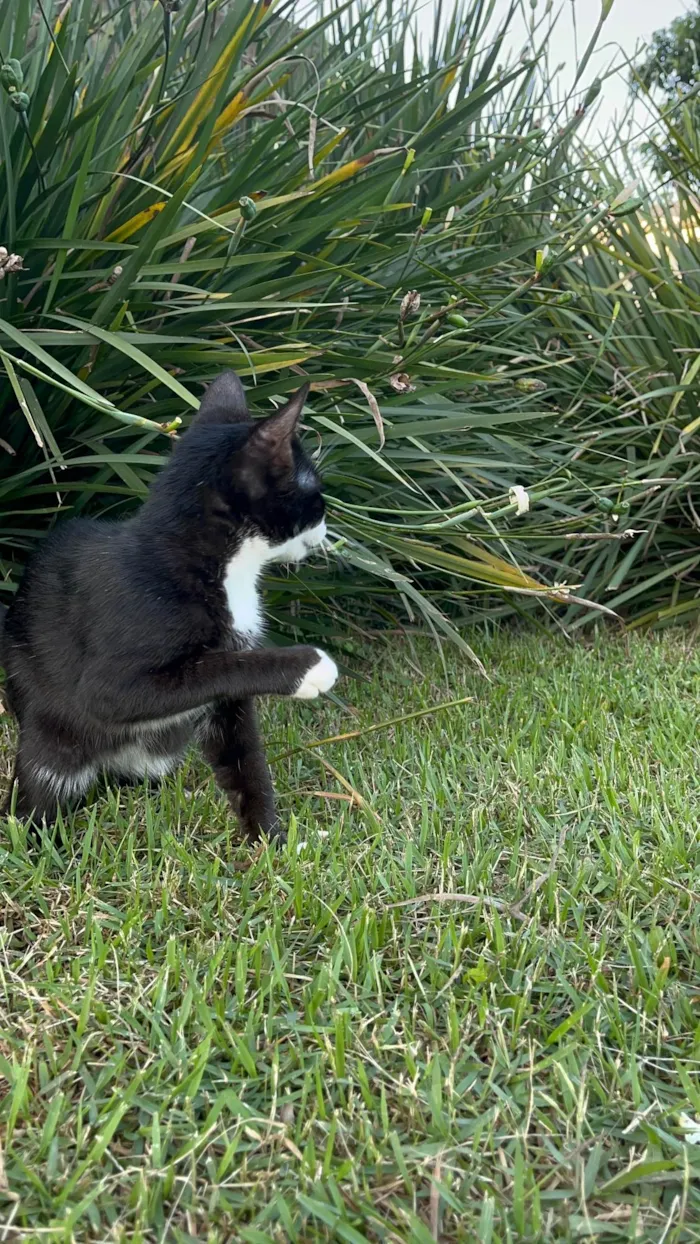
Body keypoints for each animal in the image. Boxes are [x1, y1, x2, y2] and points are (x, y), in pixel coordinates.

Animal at [0, 368, 340, 835]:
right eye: (316, 493)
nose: (326, 528)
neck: (213, 565)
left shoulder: (228, 704)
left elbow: (245, 758)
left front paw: (268, 837)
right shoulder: (116, 670)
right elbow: (212, 667)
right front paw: (308, 667)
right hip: (51, 736)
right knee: (36, 796)